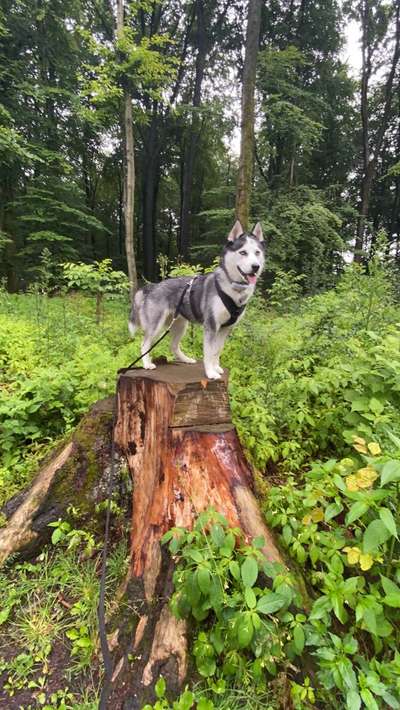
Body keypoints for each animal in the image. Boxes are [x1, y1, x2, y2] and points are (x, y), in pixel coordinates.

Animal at [129, 221, 266, 378]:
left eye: (257, 252)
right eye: (243, 252)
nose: (256, 266)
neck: (233, 288)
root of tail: (152, 286)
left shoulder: (225, 329)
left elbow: (217, 351)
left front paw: (216, 368)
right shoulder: (211, 326)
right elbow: (209, 353)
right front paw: (211, 373)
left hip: (180, 325)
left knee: (173, 346)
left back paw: (185, 359)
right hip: (156, 326)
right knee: (144, 344)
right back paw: (147, 364)